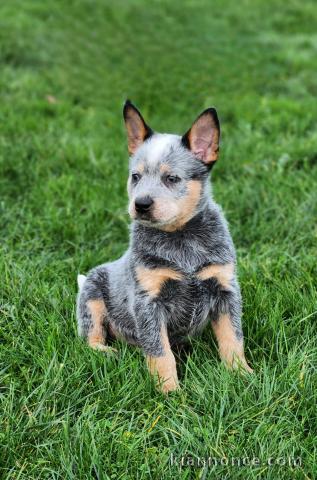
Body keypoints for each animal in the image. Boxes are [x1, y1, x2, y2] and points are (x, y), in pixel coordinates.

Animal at [76, 100, 252, 394]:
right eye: (135, 176)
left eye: (172, 178)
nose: (141, 204)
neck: (181, 239)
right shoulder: (148, 301)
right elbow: (160, 352)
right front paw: (169, 392)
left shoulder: (225, 288)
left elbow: (233, 338)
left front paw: (242, 375)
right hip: (91, 295)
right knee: (91, 337)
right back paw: (106, 352)